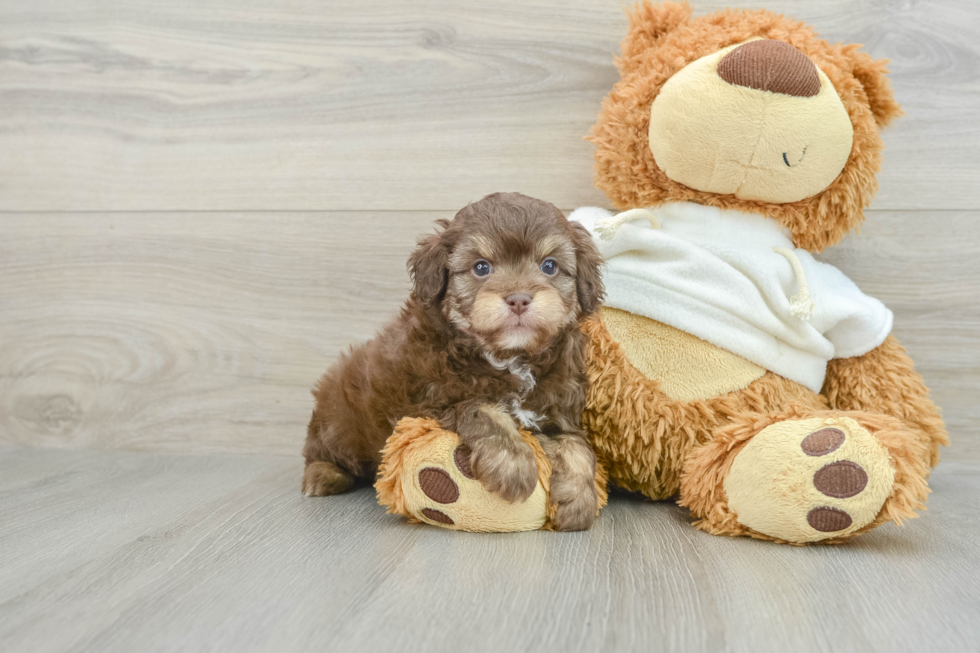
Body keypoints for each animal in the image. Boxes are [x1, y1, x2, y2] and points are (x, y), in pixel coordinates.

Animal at [302, 190, 604, 528]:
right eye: (481, 268)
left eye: (550, 266)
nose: (519, 299)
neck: (509, 357)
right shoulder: (430, 402)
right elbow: (480, 407)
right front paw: (513, 464)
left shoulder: (559, 409)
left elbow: (578, 447)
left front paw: (579, 499)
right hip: (339, 419)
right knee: (320, 451)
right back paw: (322, 476)